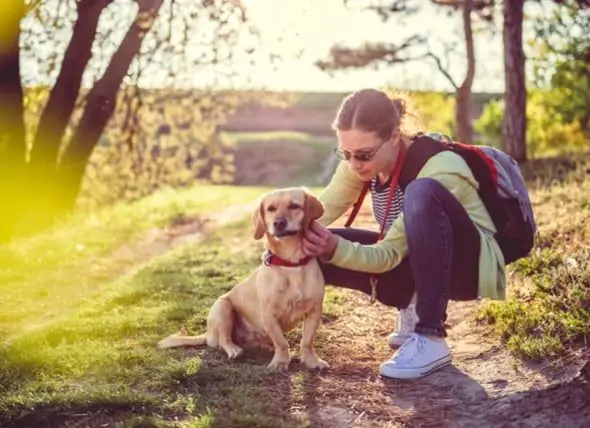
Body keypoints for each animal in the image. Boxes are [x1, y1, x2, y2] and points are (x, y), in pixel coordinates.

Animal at [160, 187, 330, 372]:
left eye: (294, 206)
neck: (290, 264)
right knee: (224, 339)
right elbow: (281, 342)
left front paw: (311, 361)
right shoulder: (269, 315)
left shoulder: (314, 311)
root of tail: (208, 334)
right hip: (223, 306)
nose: (278, 223)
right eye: (271, 209)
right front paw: (280, 362)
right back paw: (234, 350)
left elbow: (307, 341)